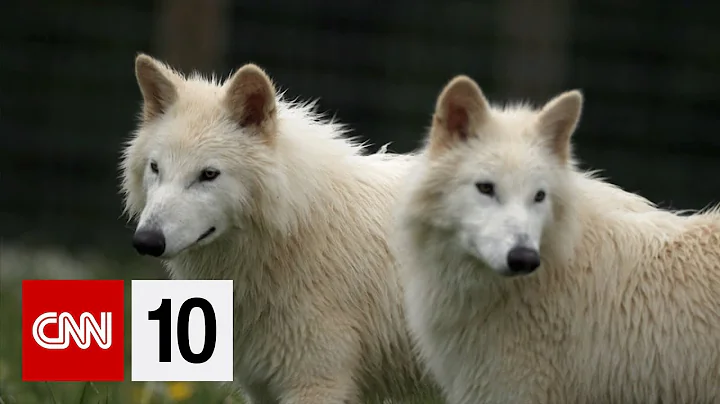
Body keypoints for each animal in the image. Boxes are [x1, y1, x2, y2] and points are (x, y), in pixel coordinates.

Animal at [120, 54, 440, 403]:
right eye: (155, 168)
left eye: (208, 174)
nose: (146, 241)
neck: (297, 230)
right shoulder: (262, 388)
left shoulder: (315, 384)